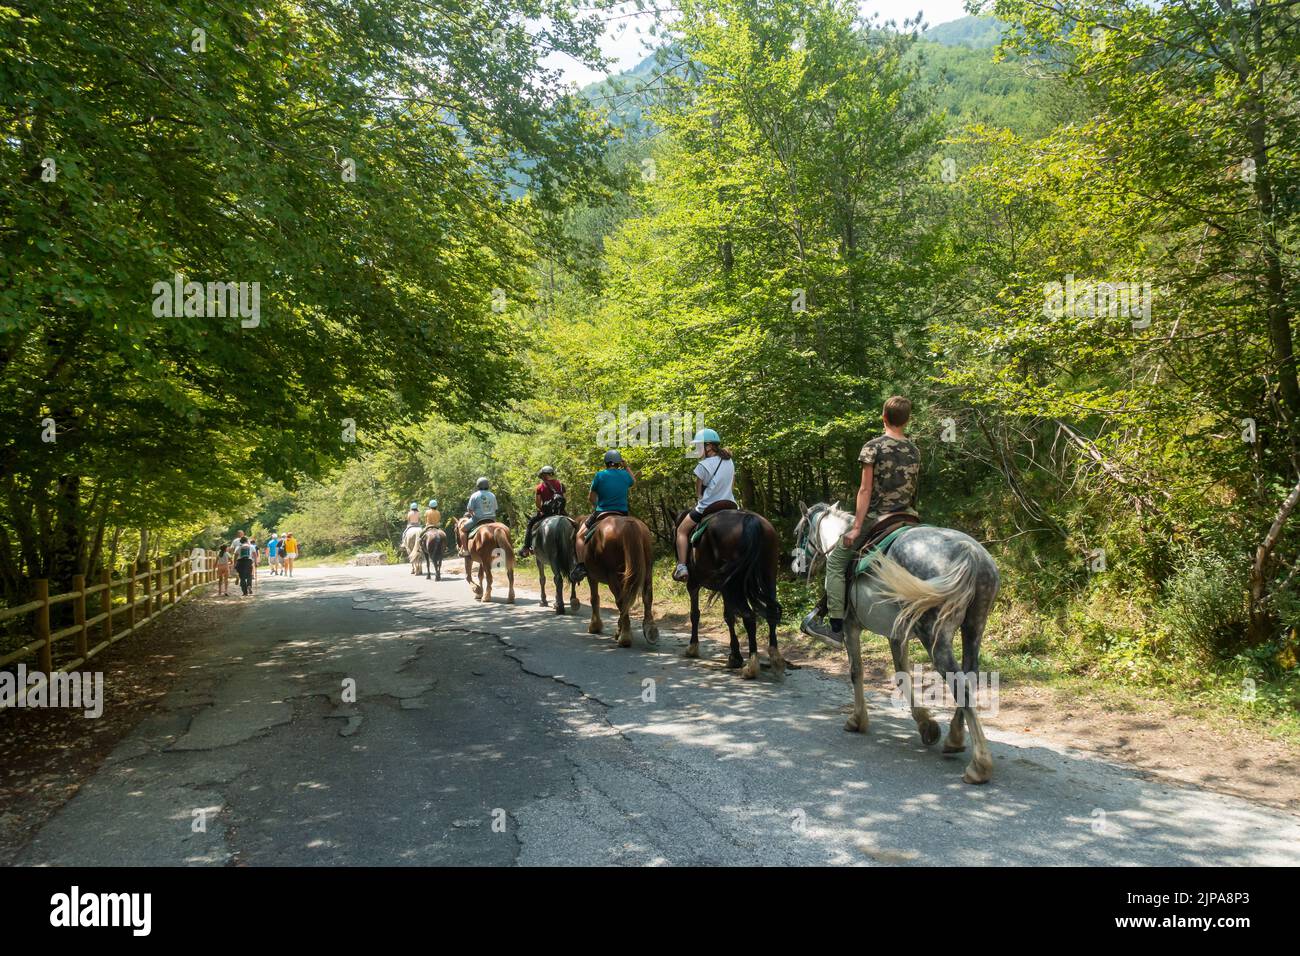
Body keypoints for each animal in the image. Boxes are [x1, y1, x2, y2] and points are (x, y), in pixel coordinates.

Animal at [577, 515, 657, 648]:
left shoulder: (591, 576)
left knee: (621, 601)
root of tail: (629, 524)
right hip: (647, 570)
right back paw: (649, 630)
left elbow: (594, 598)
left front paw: (595, 626)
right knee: (646, 597)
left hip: (613, 576)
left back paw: (624, 637)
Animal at [678, 508, 784, 680]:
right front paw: (735, 656)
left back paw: (752, 666)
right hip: (768, 575)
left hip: (733, 584)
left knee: (749, 616)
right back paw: (776, 659)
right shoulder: (724, 588)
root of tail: (750, 520)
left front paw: (692, 647)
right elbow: (729, 617)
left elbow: (695, 614)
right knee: (771, 614)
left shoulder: (693, 584)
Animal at [794, 501, 1000, 785]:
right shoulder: (897, 635)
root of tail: (971, 554)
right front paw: (926, 726)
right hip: (973, 628)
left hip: (934, 637)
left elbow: (856, 672)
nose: (796, 567)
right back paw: (955, 739)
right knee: (970, 675)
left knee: (959, 684)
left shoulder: (850, 627)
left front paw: (857, 720)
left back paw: (979, 765)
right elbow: (903, 676)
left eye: (798, 532)